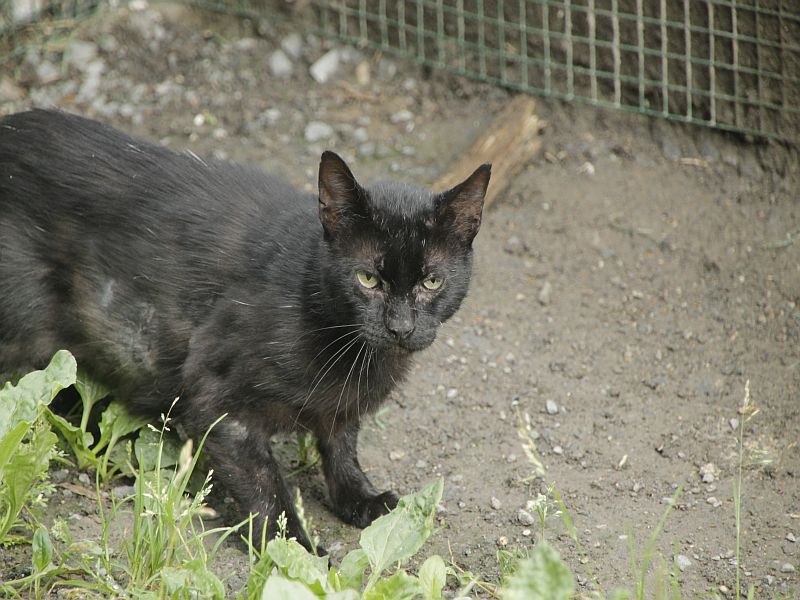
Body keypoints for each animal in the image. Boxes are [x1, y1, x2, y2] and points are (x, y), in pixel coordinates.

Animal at [0, 109, 490, 550]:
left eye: (432, 282)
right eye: (367, 279)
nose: (400, 326)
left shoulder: (343, 407)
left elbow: (342, 448)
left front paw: (361, 500)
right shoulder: (217, 402)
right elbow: (265, 486)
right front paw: (292, 549)